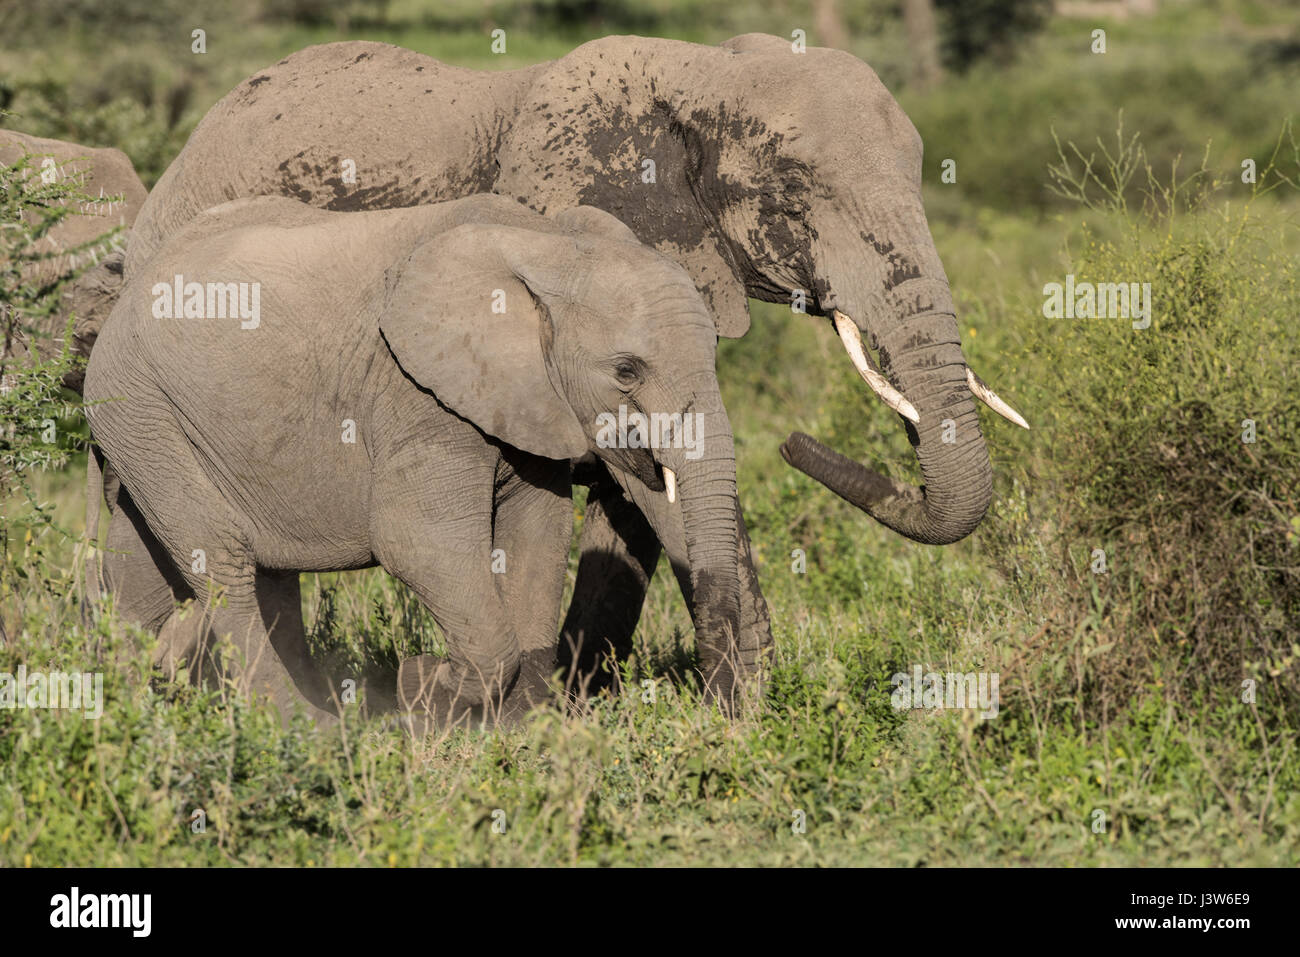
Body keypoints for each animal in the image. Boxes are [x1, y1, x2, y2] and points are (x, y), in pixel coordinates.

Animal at [86, 191, 748, 722]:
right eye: (627, 371)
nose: (721, 710)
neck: (546, 246)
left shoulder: (530, 402)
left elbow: (539, 534)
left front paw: (518, 730)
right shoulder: (415, 393)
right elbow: (415, 540)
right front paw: (421, 691)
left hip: (151, 420)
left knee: (146, 561)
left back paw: (136, 693)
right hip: (138, 402)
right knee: (222, 555)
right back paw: (305, 727)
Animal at [122, 33, 1024, 696]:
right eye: (795, 191)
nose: (795, 444)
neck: (706, 71)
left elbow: (640, 491)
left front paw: (589, 698)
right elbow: (647, 483)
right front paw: (747, 710)